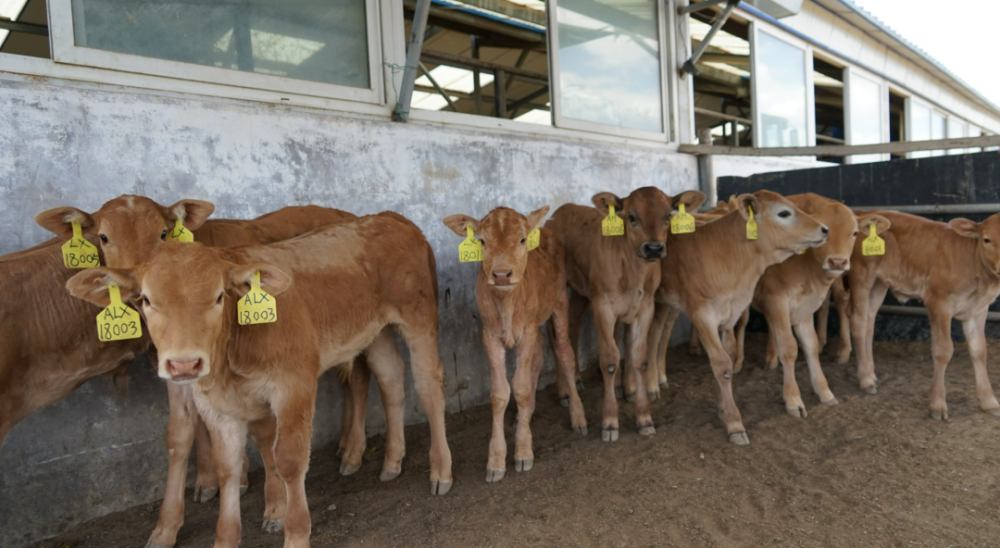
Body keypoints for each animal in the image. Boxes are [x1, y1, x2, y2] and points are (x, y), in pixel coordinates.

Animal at [65, 212, 450, 548]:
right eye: (146, 299)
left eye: (219, 296)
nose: (184, 364)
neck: (231, 362)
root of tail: (389, 217)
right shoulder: (216, 405)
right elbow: (228, 468)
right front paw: (226, 538)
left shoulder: (294, 385)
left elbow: (290, 459)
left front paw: (296, 535)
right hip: (376, 331)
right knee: (391, 380)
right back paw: (392, 461)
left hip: (418, 317)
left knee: (429, 386)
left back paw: (440, 471)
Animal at [444, 208, 584, 482]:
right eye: (482, 241)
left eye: (521, 240)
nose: (501, 274)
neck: (506, 303)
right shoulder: (489, 334)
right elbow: (499, 393)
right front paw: (496, 460)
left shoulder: (527, 329)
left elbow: (520, 387)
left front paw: (523, 452)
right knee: (539, 352)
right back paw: (524, 415)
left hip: (560, 301)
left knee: (564, 352)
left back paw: (578, 416)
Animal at [544, 187, 708, 440]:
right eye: (631, 217)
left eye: (668, 217)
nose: (653, 248)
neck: (633, 273)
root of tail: (561, 210)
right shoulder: (602, 307)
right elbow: (610, 359)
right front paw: (610, 422)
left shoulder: (645, 307)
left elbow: (639, 357)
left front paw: (644, 418)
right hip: (559, 291)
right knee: (556, 338)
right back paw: (564, 393)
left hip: (581, 293)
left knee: (573, 327)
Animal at [648, 191, 828, 444]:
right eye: (783, 213)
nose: (825, 229)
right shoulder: (702, 315)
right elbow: (720, 363)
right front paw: (734, 423)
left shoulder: (730, 314)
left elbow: (729, 358)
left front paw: (722, 409)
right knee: (652, 335)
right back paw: (650, 385)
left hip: (668, 303)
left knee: (662, 335)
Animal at [848, 210, 1000, 420]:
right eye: (986, 239)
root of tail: (863, 214)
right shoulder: (939, 302)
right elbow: (943, 350)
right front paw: (937, 404)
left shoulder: (978, 309)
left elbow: (979, 350)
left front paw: (989, 401)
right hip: (861, 275)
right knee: (858, 321)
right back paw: (865, 380)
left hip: (879, 283)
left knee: (869, 322)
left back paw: (871, 374)